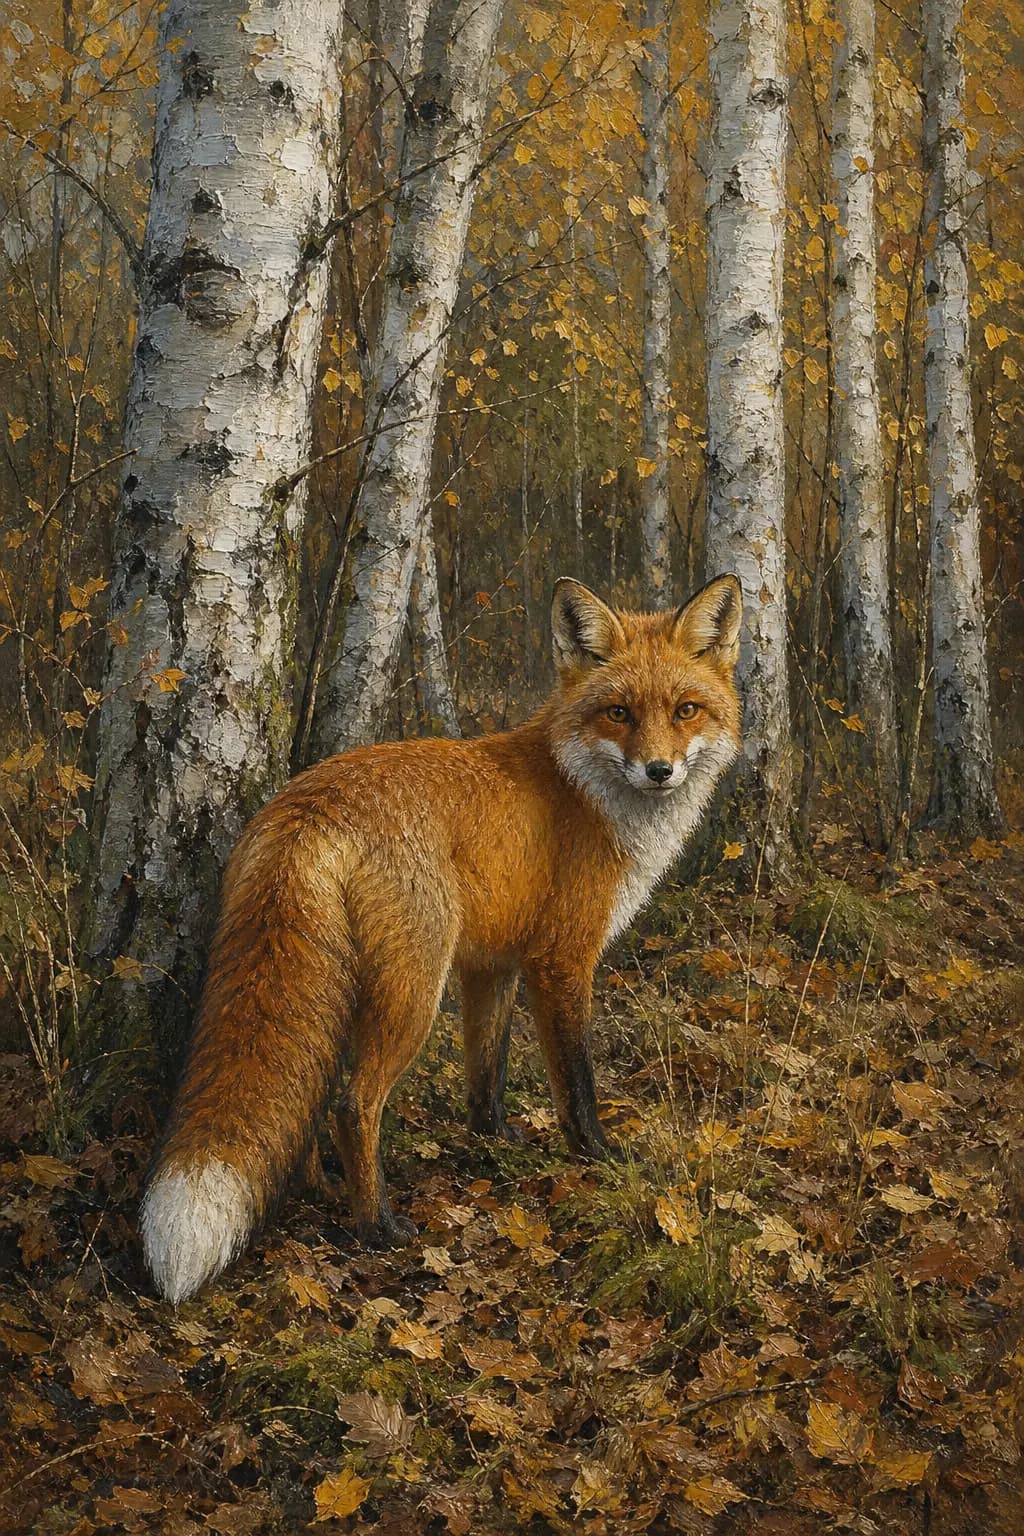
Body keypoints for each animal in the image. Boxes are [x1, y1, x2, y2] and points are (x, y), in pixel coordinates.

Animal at [141, 575, 743, 1303]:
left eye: (686, 710)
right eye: (619, 713)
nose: (659, 770)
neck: (583, 793)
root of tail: (309, 803)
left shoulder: (493, 966)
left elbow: (487, 1072)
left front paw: (494, 1142)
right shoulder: (562, 959)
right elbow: (577, 1082)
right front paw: (597, 1159)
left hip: (339, 988)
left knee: (309, 1096)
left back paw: (318, 1189)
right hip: (412, 992)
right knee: (352, 1104)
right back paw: (376, 1225)